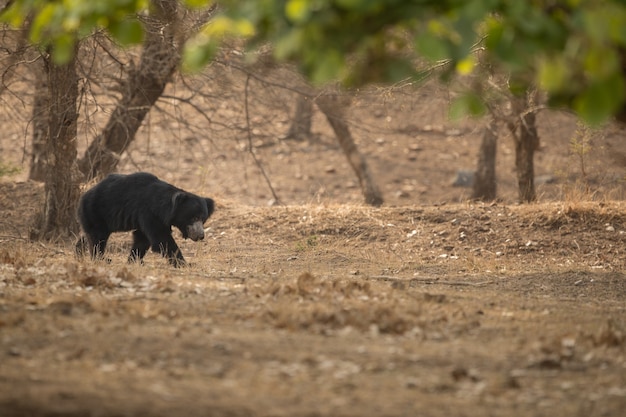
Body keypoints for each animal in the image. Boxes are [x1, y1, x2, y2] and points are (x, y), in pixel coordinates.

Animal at [75, 171, 214, 266]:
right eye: (194, 217)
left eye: (203, 219)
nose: (201, 236)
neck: (164, 208)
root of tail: (83, 196)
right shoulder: (149, 213)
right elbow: (161, 239)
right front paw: (184, 264)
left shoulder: (147, 219)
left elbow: (142, 239)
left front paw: (133, 261)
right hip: (96, 212)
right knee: (97, 238)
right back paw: (102, 259)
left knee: (89, 235)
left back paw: (79, 251)